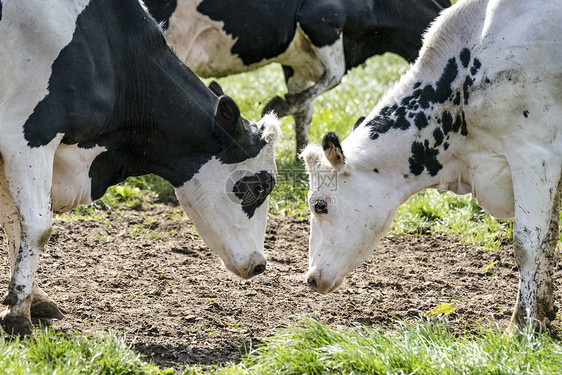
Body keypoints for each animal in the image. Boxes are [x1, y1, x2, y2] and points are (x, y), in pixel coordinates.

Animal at [0, 0, 278, 336]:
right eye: (260, 186)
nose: (260, 263)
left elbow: (13, 222)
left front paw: (34, 299)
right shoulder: (29, 136)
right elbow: (37, 226)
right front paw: (18, 315)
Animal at [143, 0, 446, 156]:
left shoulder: (297, 60)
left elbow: (306, 107)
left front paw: (303, 153)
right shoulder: (322, 19)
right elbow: (332, 78)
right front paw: (276, 106)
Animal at [302, 0, 560, 328]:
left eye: (319, 205)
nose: (310, 279)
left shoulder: (534, 153)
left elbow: (528, 245)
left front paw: (521, 325)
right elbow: (550, 237)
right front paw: (544, 312)